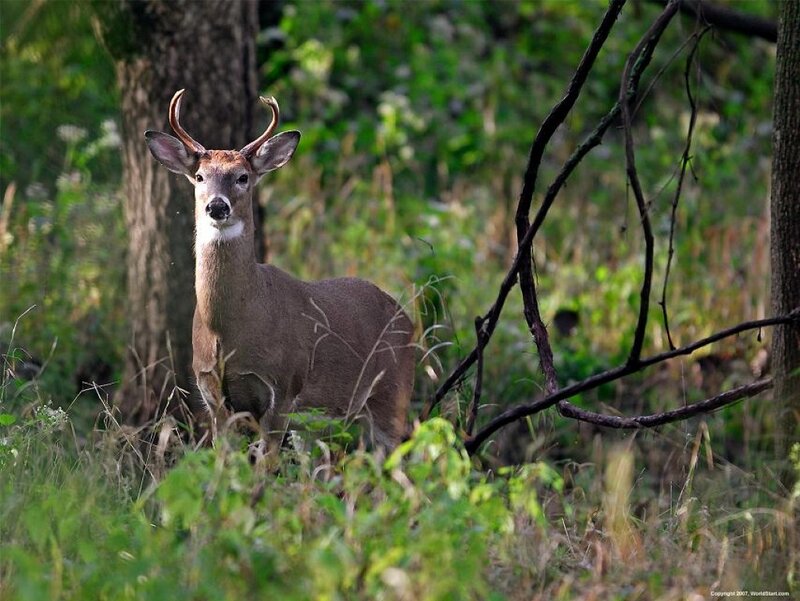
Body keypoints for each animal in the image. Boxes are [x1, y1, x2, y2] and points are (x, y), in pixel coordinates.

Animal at [144, 89, 415, 456]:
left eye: (242, 177)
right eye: (200, 177)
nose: (217, 206)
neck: (229, 329)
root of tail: (407, 318)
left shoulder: (283, 387)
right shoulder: (212, 393)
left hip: (392, 394)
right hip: (318, 426)